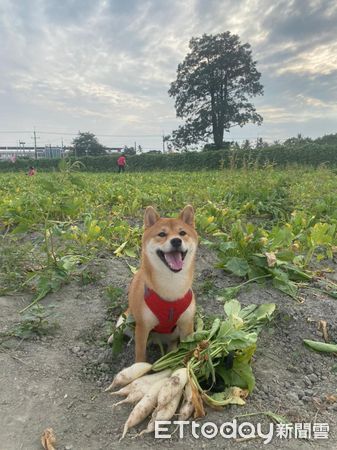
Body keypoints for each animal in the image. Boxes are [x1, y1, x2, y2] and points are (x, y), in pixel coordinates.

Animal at [110, 207, 198, 362]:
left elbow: (188, 350)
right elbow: (140, 355)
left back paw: (170, 352)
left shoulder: (187, 325)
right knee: (118, 330)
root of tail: (157, 340)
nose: (176, 241)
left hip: (175, 332)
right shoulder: (143, 327)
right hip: (125, 321)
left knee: (172, 342)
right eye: (162, 234)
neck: (171, 284)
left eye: (182, 233)